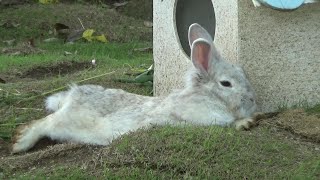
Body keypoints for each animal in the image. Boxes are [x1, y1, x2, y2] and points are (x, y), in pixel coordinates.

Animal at [11, 23, 258, 153]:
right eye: (226, 83)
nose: (253, 101)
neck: (210, 96)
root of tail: (72, 96)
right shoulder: (194, 120)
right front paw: (245, 122)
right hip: (66, 120)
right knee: (42, 123)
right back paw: (19, 143)